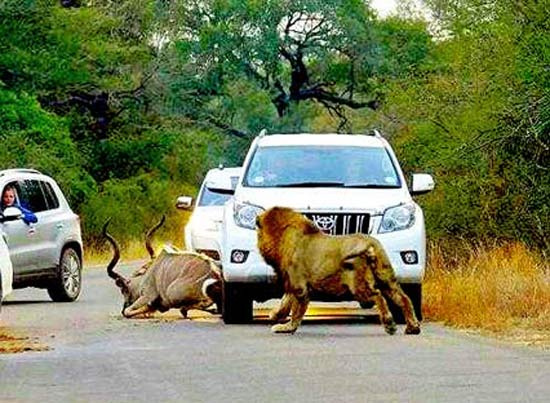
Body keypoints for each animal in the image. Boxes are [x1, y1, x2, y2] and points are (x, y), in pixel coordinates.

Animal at [256, 207, 422, 336]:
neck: (283, 236)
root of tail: (369, 242)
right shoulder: (294, 283)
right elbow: (286, 301)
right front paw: (276, 315)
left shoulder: (299, 287)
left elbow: (296, 311)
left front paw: (286, 328)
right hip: (386, 278)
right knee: (404, 299)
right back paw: (413, 327)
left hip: (358, 285)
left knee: (378, 296)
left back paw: (389, 324)